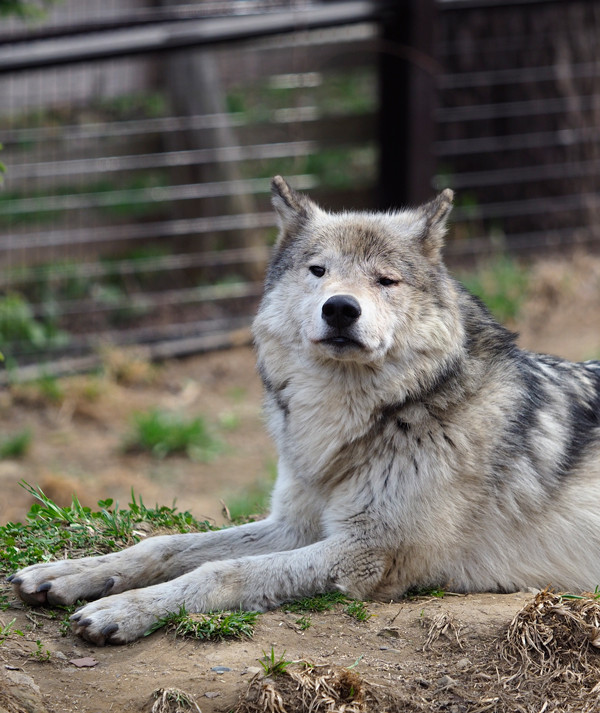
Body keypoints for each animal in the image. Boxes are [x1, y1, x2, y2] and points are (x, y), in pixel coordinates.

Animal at [9, 175, 600, 644]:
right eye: (318, 271)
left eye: (386, 280)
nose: (340, 308)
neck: (354, 423)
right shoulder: (293, 526)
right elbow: (164, 545)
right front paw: (70, 574)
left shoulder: (369, 552)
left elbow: (221, 572)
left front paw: (121, 609)